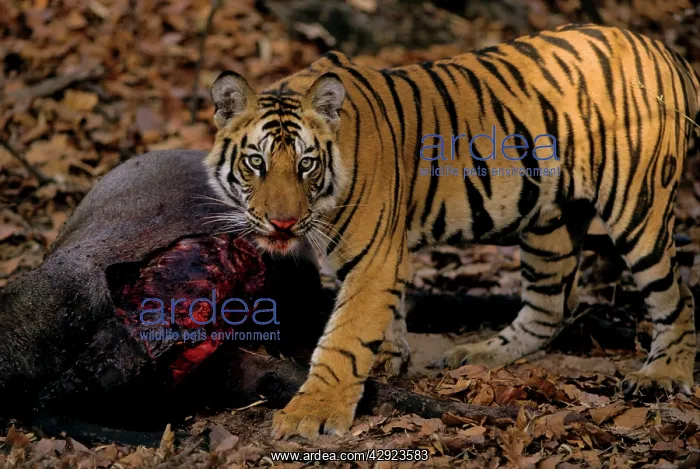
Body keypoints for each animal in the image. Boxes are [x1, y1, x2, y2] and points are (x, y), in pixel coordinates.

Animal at [203, 23, 700, 439]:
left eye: (306, 164)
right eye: (256, 162)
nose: (283, 222)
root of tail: (664, 50)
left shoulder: (373, 255)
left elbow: (344, 338)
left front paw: (313, 412)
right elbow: (384, 316)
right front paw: (390, 357)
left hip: (638, 204)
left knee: (677, 296)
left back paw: (663, 375)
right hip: (548, 220)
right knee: (550, 306)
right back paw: (480, 354)